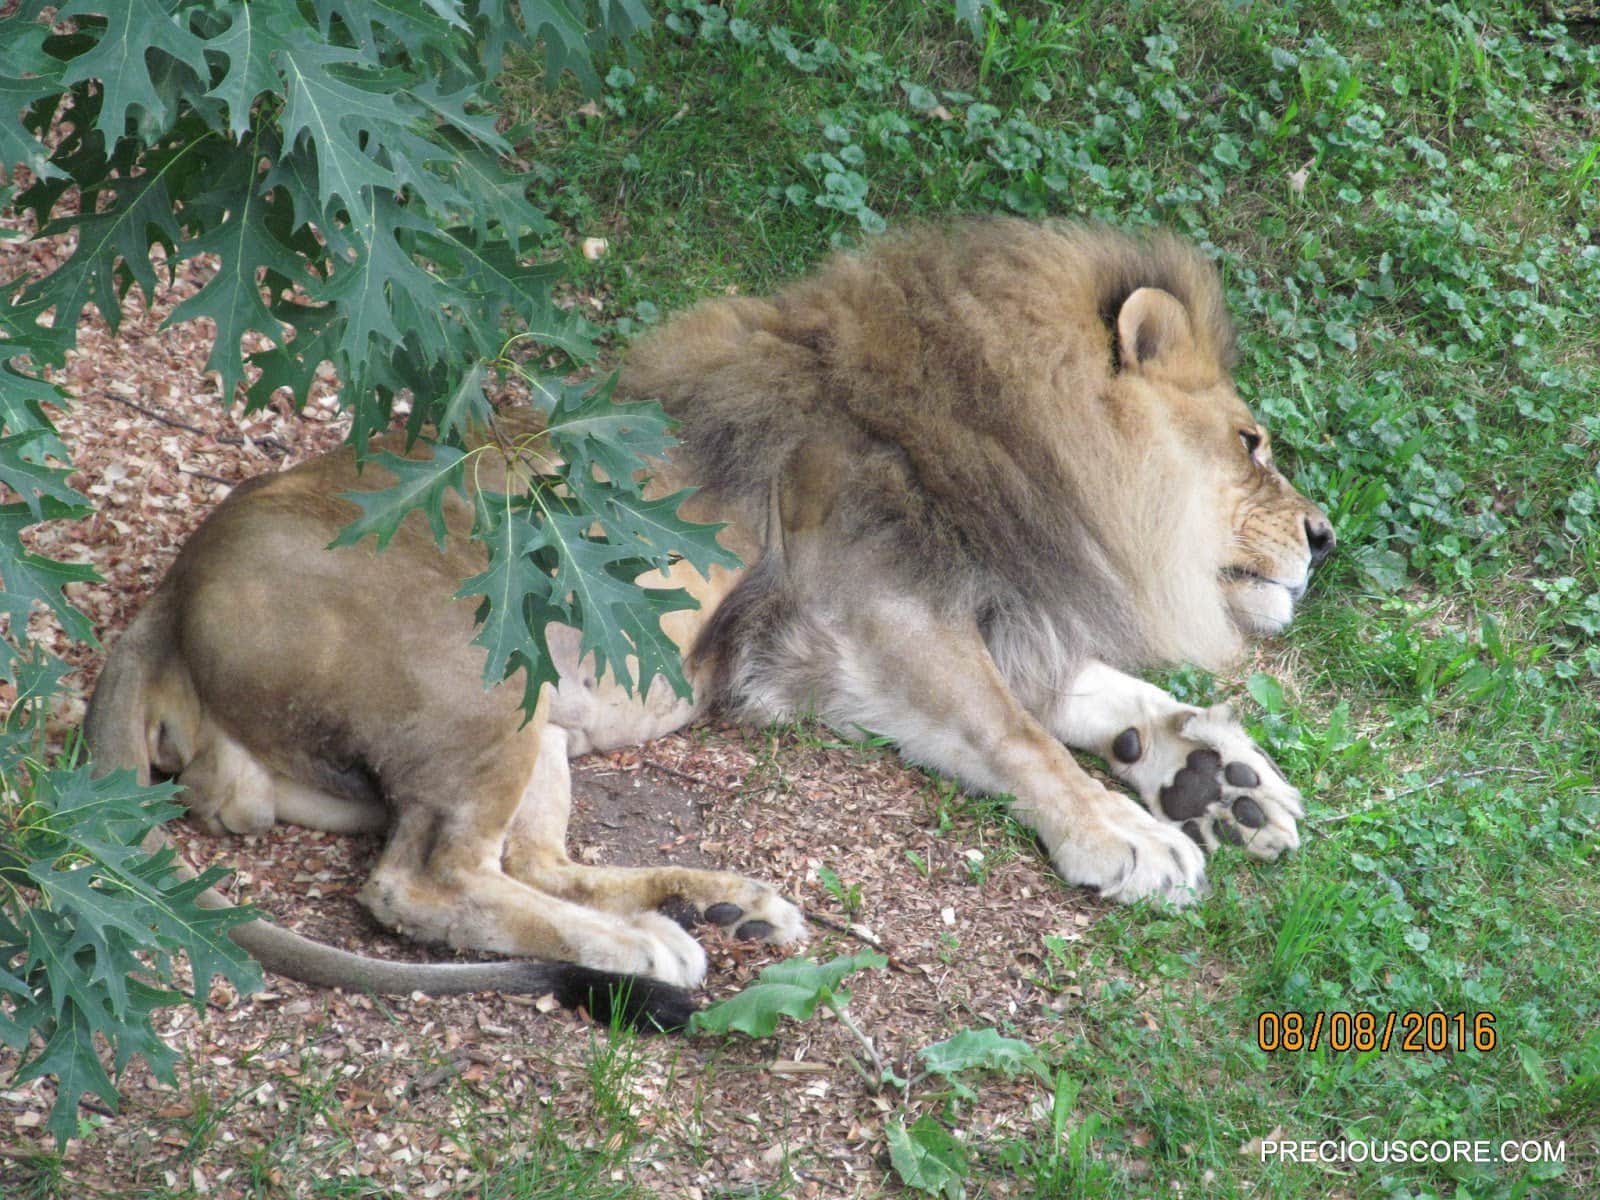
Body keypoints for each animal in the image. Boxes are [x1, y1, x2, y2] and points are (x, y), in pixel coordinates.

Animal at [87, 216, 1337, 1024]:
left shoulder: (944, 626)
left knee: (529, 859)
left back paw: (718, 906)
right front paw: (1128, 833)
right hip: (481, 671)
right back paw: (648, 944)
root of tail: (168, 598)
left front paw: (1217, 778)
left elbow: (1108, 696)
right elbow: (1021, 734)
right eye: (1250, 442)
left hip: (537, 722)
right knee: (421, 881)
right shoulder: (873, 613)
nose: (1324, 536)